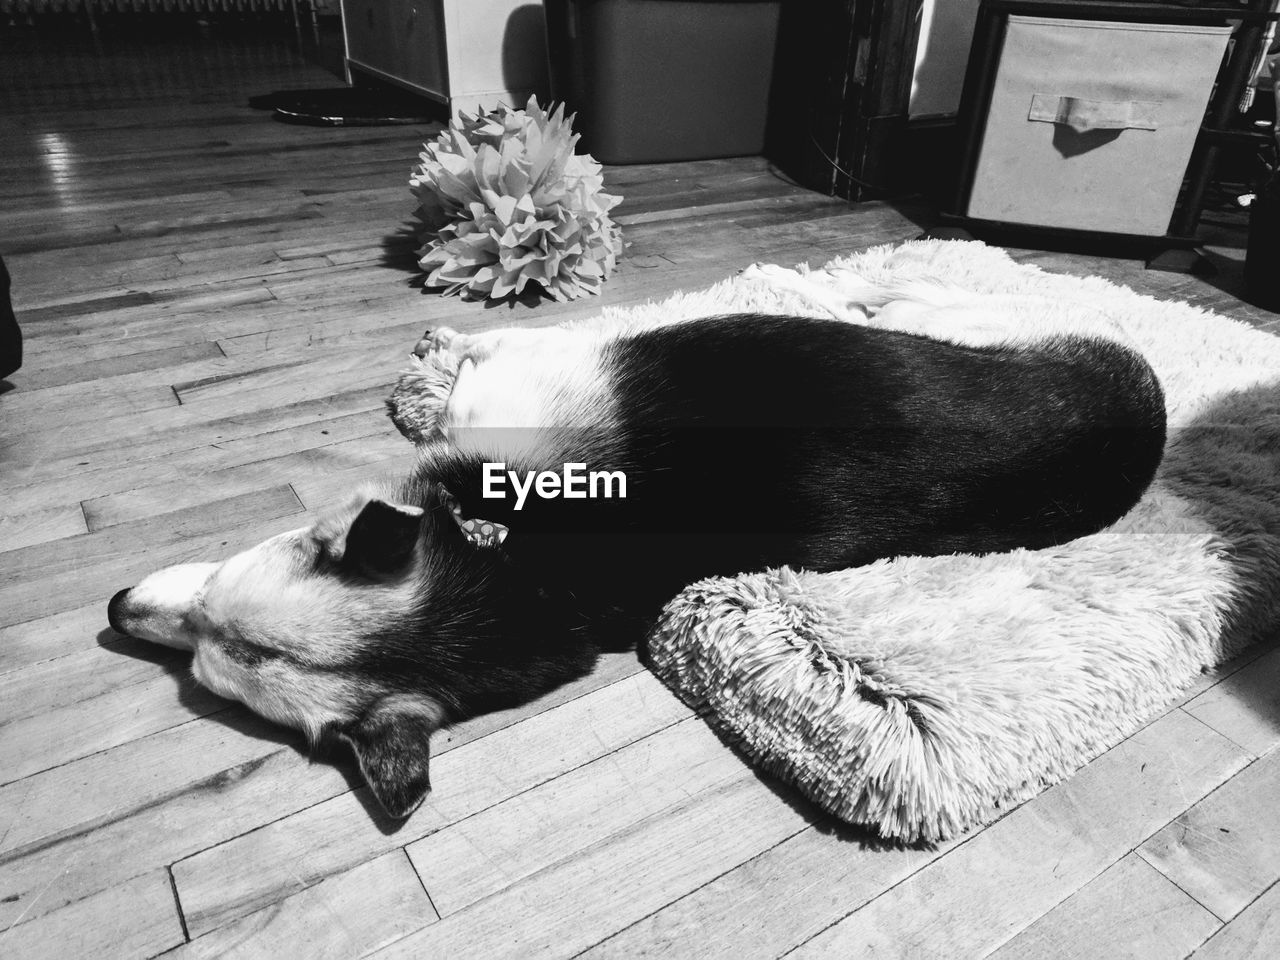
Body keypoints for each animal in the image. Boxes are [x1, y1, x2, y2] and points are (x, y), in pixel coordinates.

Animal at [110, 264, 1172, 819]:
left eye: (203, 652)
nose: (114, 610)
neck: (518, 559)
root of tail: (1147, 411)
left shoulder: (519, 387)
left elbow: (478, 364)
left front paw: (443, 354)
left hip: (984, 311)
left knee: (947, 285)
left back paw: (883, 286)